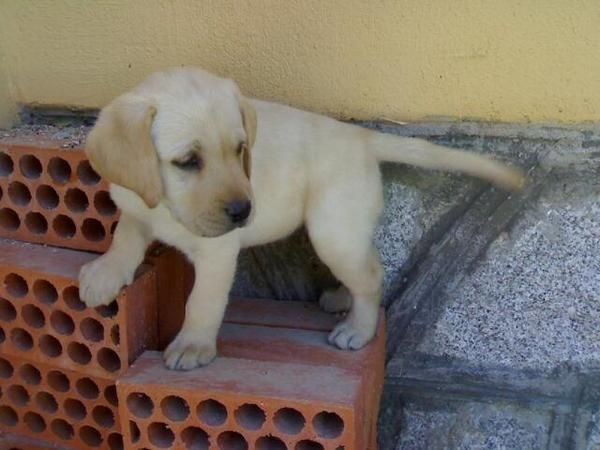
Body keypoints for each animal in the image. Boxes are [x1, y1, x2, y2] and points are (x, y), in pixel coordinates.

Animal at [79, 67, 524, 370]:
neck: (165, 208)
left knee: (371, 275)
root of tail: (361, 137)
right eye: (188, 161)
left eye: (240, 149)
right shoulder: (135, 205)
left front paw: (193, 345)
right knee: (369, 262)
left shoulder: (217, 254)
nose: (244, 210)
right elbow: (123, 238)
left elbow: (202, 301)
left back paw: (358, 329)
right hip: (344, 230)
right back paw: (343, 299)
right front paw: (104, 275)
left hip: (332, 229)